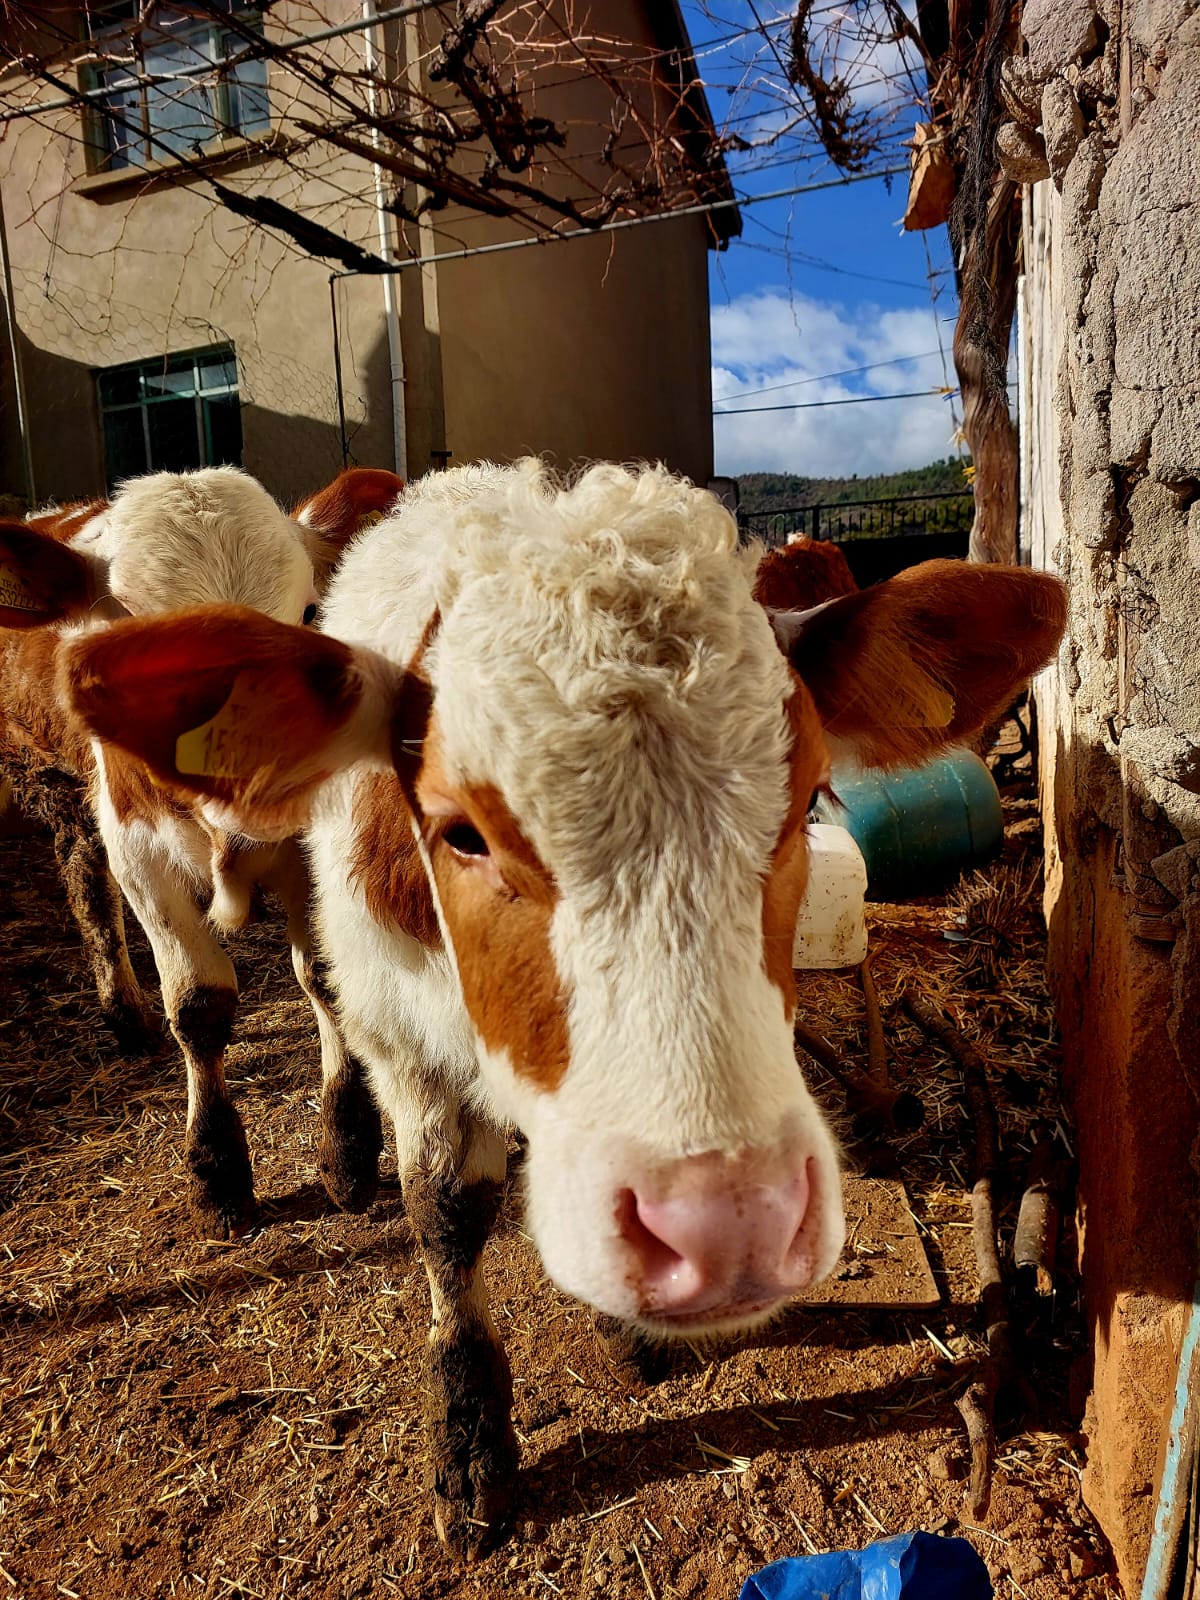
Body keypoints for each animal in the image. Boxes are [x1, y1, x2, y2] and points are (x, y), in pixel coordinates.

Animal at [0, 464, 406, 1235]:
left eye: (310, 615)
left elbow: (326, 979)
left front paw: (348, 1154)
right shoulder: (139, 855)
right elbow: (198, 1005)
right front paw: (218, 1174)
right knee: (88, 884)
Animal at [58, 460, 1068, 1548]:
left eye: (806, 806)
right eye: (460, 832)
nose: (728, 1226)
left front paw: (625, 1326)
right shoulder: (396, 1031)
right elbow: (444, 1207)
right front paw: (469, 1436)